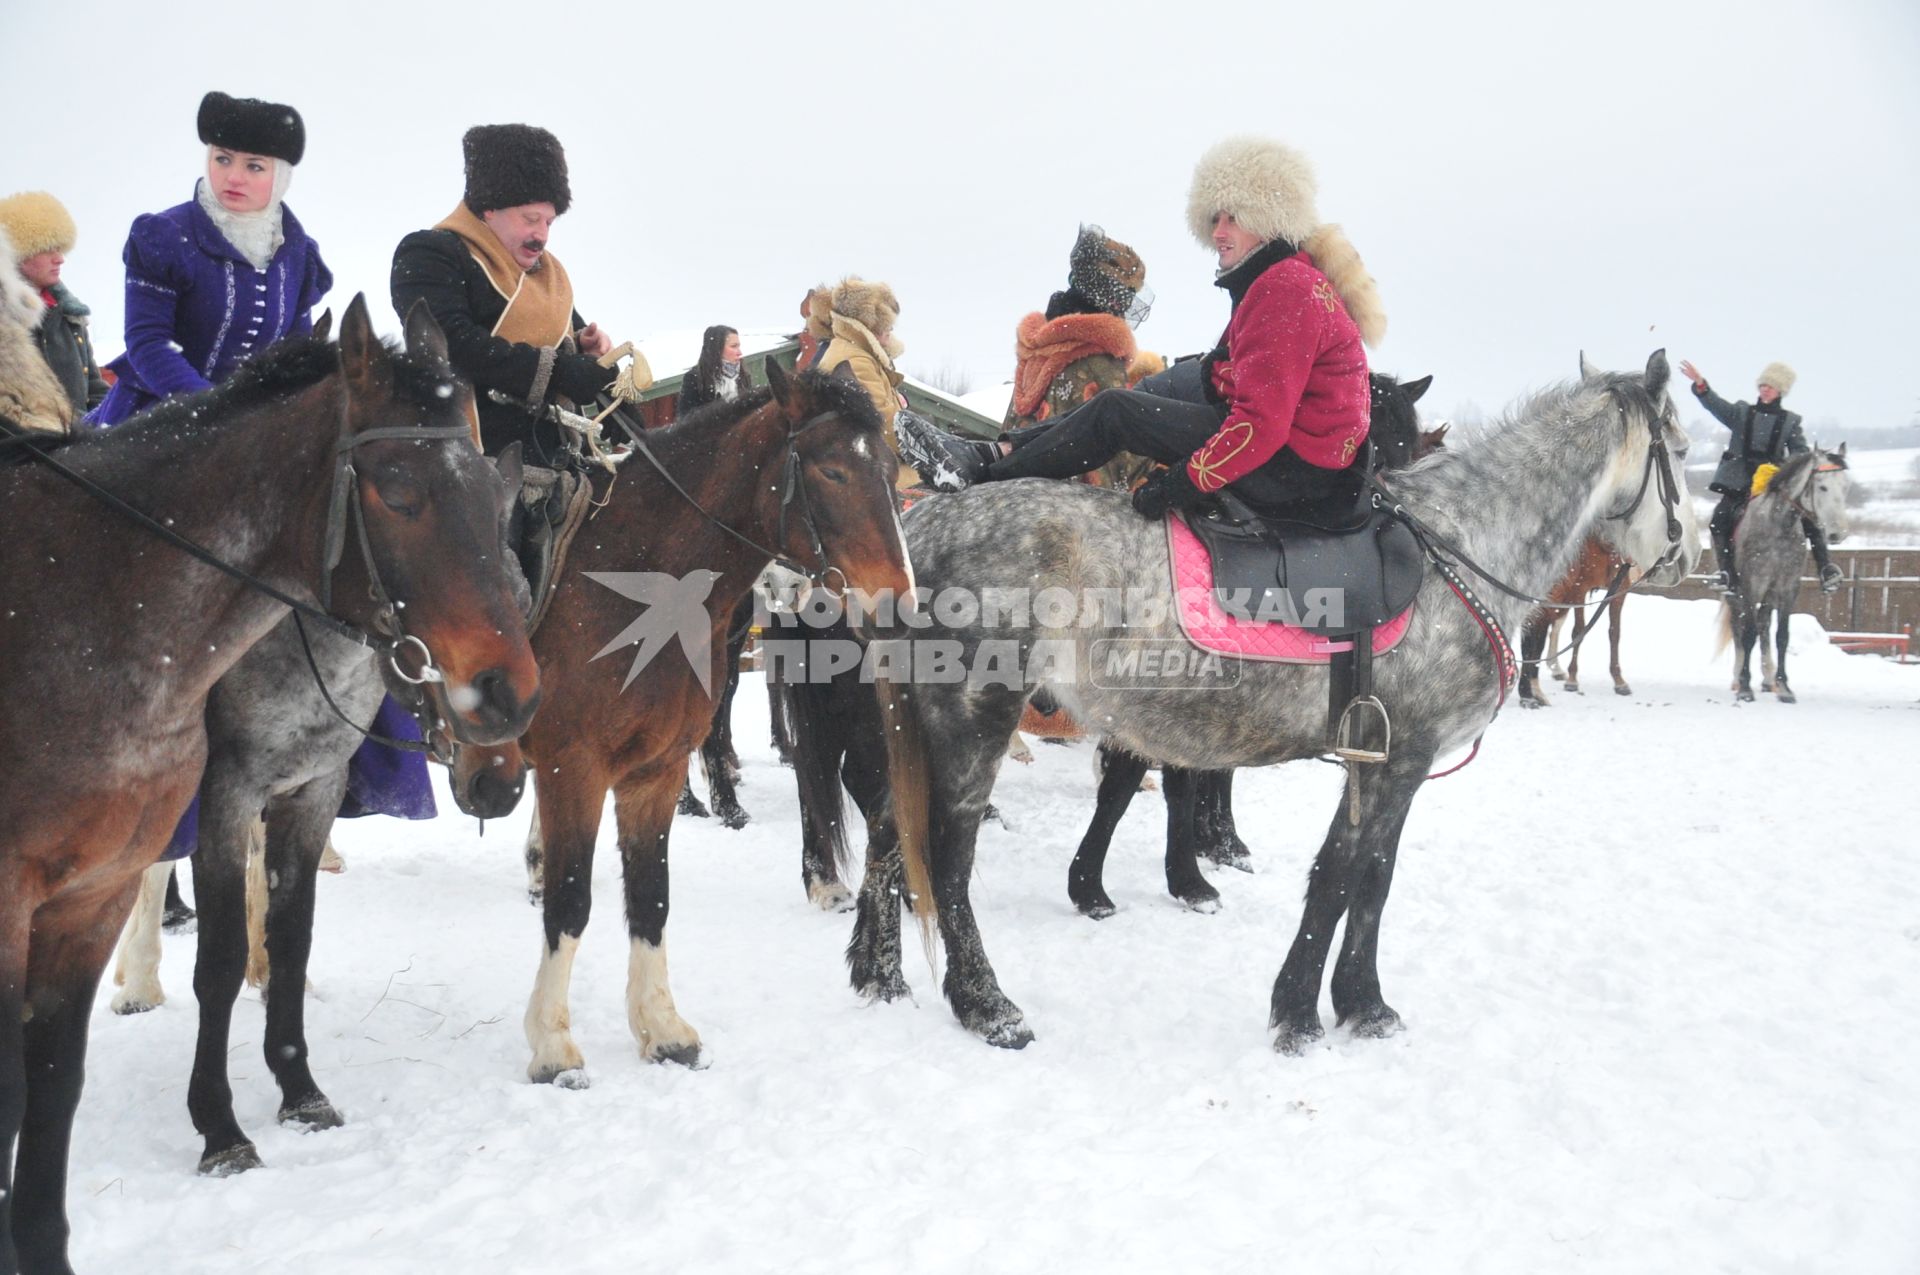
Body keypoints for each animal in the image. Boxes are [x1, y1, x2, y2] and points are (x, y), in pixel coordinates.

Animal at [0, 299, 541, 1275]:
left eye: (495, 513)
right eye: (397, 488)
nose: (502, 741)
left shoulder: (311, 790)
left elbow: (289, 938)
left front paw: (297, 1081)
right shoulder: (224, 795)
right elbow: (214, 959)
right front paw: (219, 1125)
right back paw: (139, 977)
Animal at [518, 360, 921, 1082]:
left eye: (890, 468)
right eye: (832, 471)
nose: (897, 606)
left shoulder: (650, 768)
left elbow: (650, 894)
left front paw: (661, 1029)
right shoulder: (576, 764)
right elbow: (573, 899)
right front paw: (553, 1045)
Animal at [856, 351, 1697, 1052]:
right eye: (1684, 451)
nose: (1683, 551)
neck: (1460, 551)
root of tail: (919, 524)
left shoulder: (1378, 758)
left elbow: (1362, 875)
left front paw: (1356, 1004)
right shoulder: (1402, 757)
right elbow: (1348, 876)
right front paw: (1310, 1011)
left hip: (916, 721)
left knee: (889, 833)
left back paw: (878, 973)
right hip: (974, 719)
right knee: (948, 858)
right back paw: (986, 1006)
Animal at [1728, 445, 1843, 706]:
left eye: (1846, 485)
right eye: (1822, 486)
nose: (1837, 533)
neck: (1779, 524)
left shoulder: (1788, 587)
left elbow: (1782, 635)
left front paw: (1784, 687)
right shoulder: (1752, 585)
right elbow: (1747, 633)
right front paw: (1745, 688)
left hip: (1769, 594)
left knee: (1763, 625)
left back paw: (1768, 679)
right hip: (1736, 592)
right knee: (1739, 626)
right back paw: (1737, 679)